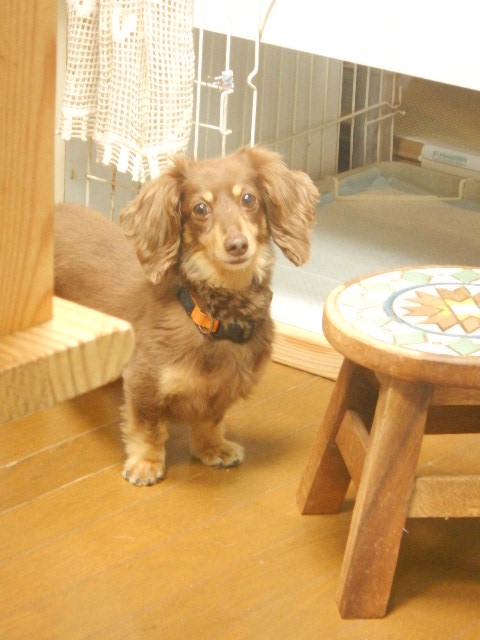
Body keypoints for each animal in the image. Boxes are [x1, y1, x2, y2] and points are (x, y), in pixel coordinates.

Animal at [55, 146, 319, 486]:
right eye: (200, 208)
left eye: (249, 199)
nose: (237, 245)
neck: (211, 317)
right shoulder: (144, 383)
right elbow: (148, 429)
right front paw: (146, 465)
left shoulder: (221, 391)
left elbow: (210, 420)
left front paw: (213, 448)